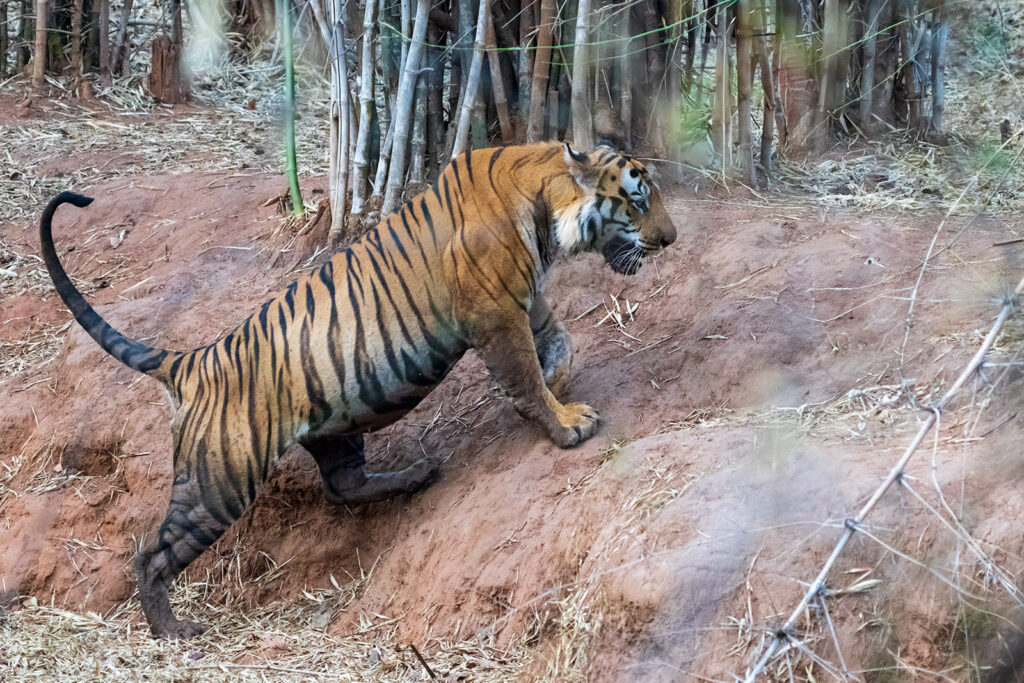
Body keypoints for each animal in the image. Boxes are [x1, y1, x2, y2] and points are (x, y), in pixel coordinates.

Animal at [41, 141, 679, 638]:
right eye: (639, 199)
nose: (671, 239)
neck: (545, 200)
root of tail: (191, 361)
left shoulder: (524, 300)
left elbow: (560, 342)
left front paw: (559, 382)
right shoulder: (495, 314)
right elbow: (524, 371)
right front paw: (565, 424)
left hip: (337, 425)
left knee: (343, 485)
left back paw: (417, 475)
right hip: (218, 481)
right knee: (152, 554)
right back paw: (172, 629)